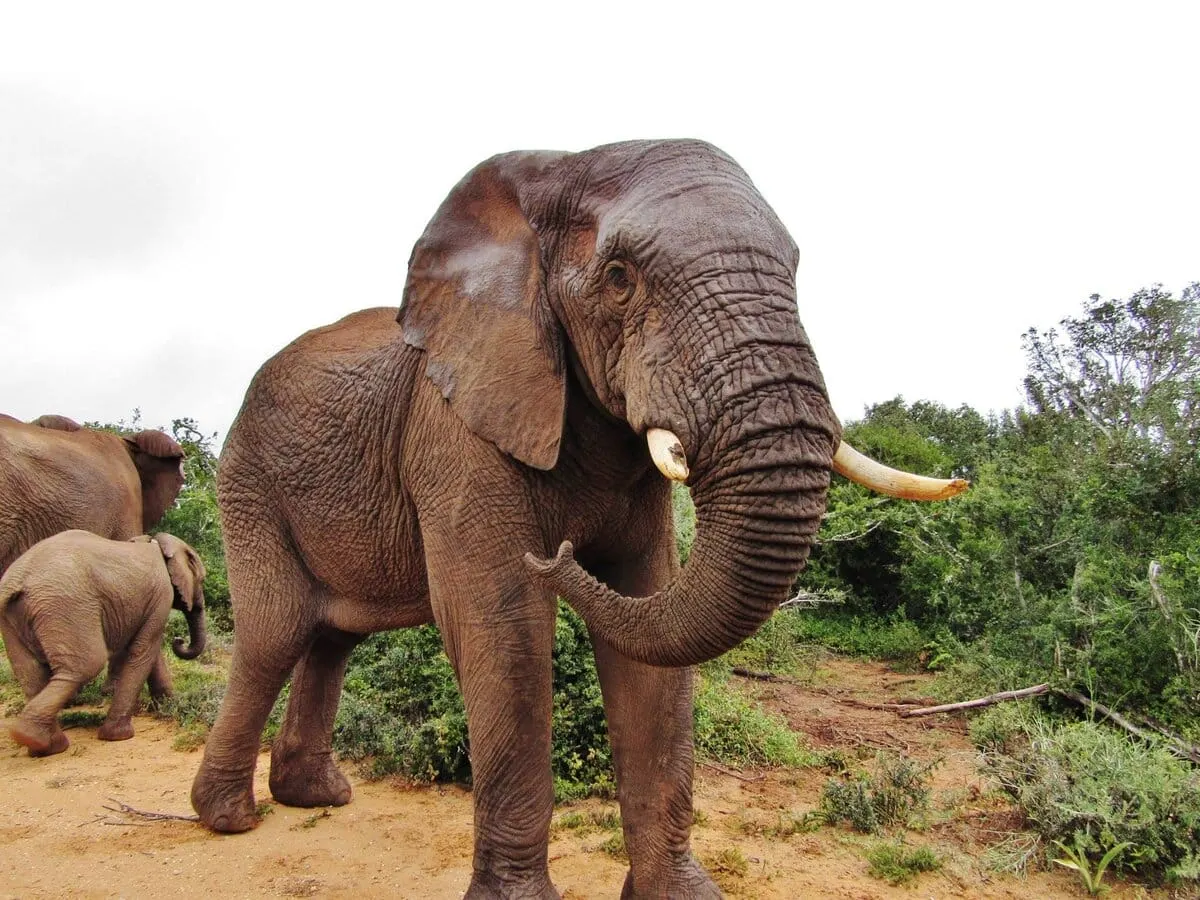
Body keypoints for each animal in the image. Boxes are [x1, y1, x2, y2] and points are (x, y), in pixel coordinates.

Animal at [0, 529, 207, 756]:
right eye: (202, 580)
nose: (179, 640)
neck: (159, 543)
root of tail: (17, 580)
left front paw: (168, 705)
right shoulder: (162, 595)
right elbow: (143, 650)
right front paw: (119, 736)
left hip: (14, 617)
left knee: (30, 673)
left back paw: (45, 746)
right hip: (66, 606)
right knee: (86, 665)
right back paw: (34, 738)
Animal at [191, 140, 966, 898]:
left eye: (797, 271)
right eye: (620, 278)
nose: (557, 554)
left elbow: (649, 626)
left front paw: (679, 894)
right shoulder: (454, 428)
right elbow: (505, 628)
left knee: (332, 637)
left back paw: (317, 798)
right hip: (249, 479)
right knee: (276, 632)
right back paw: (230, 819)